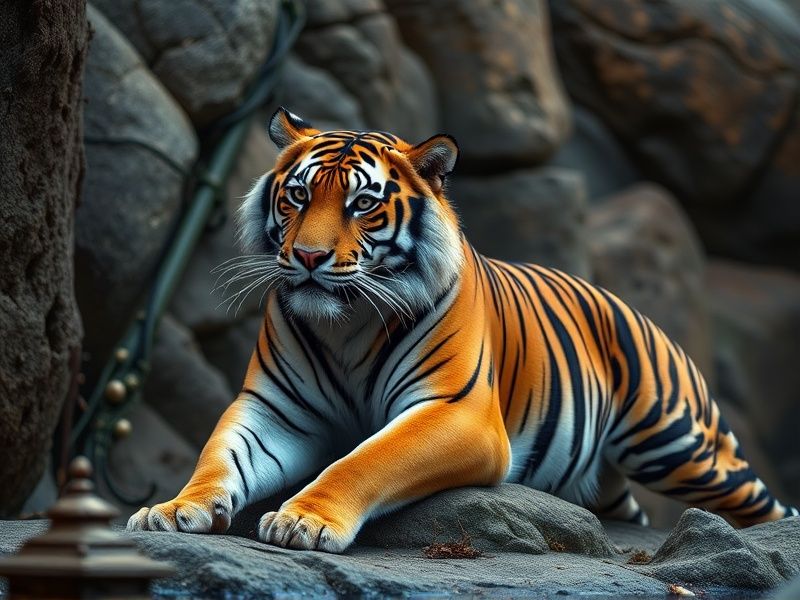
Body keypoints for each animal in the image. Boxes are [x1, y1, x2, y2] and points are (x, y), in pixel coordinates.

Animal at [127, 107, 799, 552]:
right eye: (296, 196)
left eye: (361, 204)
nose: (310, 257)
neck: (346, 325)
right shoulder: (275, 409)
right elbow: (218, 457)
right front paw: (173, 511)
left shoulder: (457, 410)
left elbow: (365, 460)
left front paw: (304, 521)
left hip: (678, 443)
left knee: (764, 502)